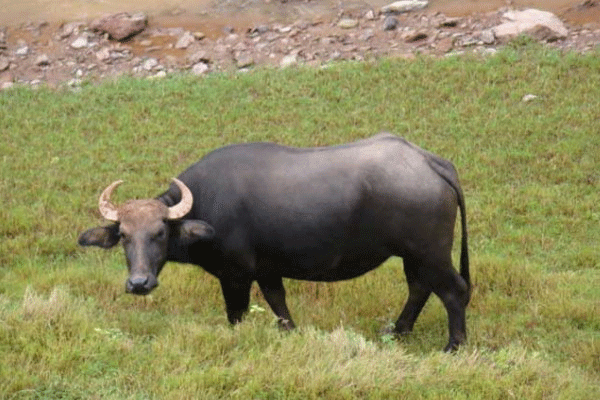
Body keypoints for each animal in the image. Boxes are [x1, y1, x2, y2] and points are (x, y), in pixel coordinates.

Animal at [77, 134, 468, 350]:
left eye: (159, 232)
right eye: (124, 236)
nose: (139, 283)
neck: (206, 202)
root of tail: (429, 161)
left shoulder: (235, 275)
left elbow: (236, 315)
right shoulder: (267, 270)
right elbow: (279, 304)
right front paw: (292, 333)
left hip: (430, 251)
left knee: (454, 291)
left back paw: (453, 345)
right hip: (412, 254)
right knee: (419, 288)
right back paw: (398, 331)